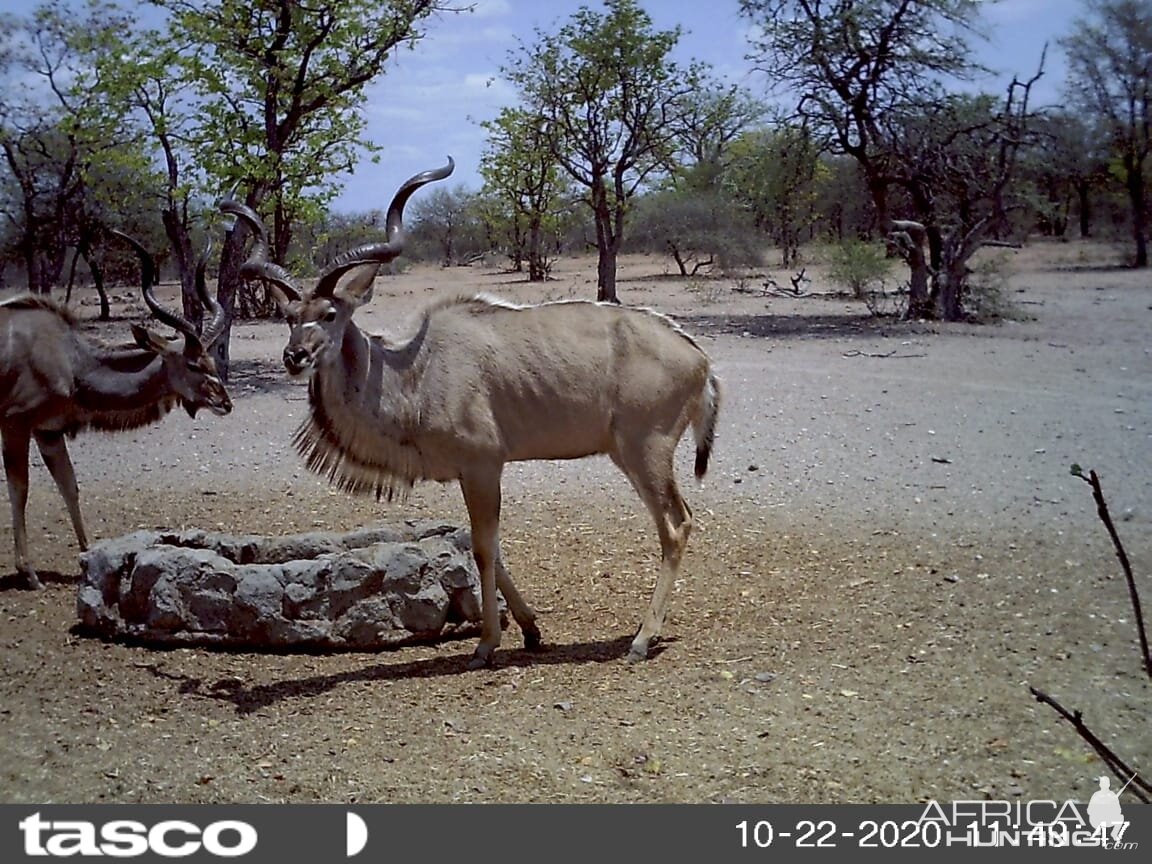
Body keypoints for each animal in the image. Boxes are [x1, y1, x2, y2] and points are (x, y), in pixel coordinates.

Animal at [0, 237, 231, 589]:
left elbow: (69, 485)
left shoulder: (47, 431)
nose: (225, 402)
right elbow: (20, 490)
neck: (70, 359)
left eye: (211, 361)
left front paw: (87, 554)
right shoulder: (15, 424)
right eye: (193, 364)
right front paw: (29, 573)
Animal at [225, 162, 718, 672]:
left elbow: (482, 547)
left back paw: (641, 639)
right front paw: (530, 629)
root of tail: (698, 359)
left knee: (677, 525)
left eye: (329, 313)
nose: (294, 356)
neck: (415, 371)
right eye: (289, 315)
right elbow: (489, 546)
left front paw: (485, 644)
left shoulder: (484, 465)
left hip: (644, 451)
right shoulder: (470, 473)